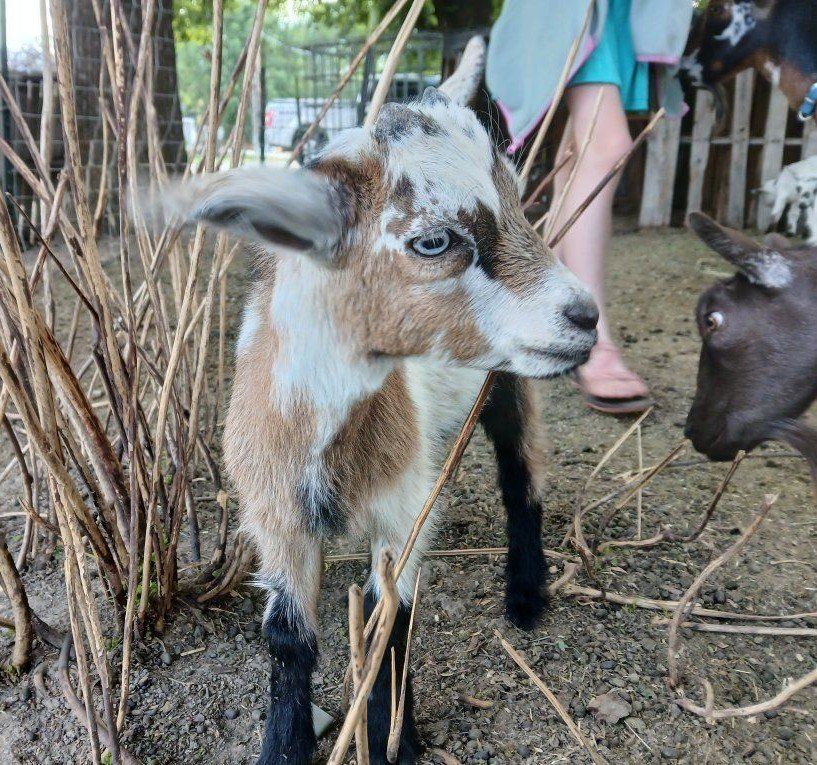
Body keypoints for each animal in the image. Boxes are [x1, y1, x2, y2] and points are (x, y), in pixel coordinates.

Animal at [165, 44, 598, 765]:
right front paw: (283, 745)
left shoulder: (404, 509)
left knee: (521, 475)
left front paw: (394, 736)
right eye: (433, 241)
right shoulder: (275, 515)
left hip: (507, 383)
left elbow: (385, 620)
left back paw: (526, 592)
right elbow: (287, 637)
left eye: (518, 202)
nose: (586, 315)